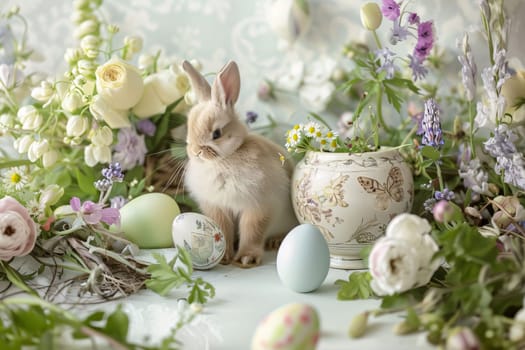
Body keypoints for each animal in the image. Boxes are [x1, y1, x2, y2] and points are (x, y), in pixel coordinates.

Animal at [180, 60, 296, 268]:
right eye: (189, 131)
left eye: (216, 133)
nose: (195, 152)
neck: (225, 159)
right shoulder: (217, 208)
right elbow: (222, 230)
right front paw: (224, 257)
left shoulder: (259, 206)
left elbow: (252, 232)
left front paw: (246, 258)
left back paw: (275, 241)